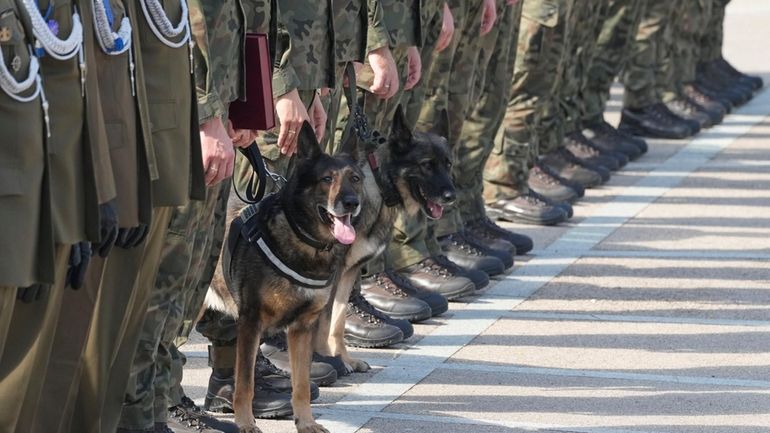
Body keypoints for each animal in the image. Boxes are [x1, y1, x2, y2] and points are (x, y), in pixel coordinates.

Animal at [206, 120, 364, 432]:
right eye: (326, 179)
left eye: (354, 178)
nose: (352, 203)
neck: (302, 238)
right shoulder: (250, 323)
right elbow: (245, 383)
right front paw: (245, 422)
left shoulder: (302, 328)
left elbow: (301, 385)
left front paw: (305, 422)